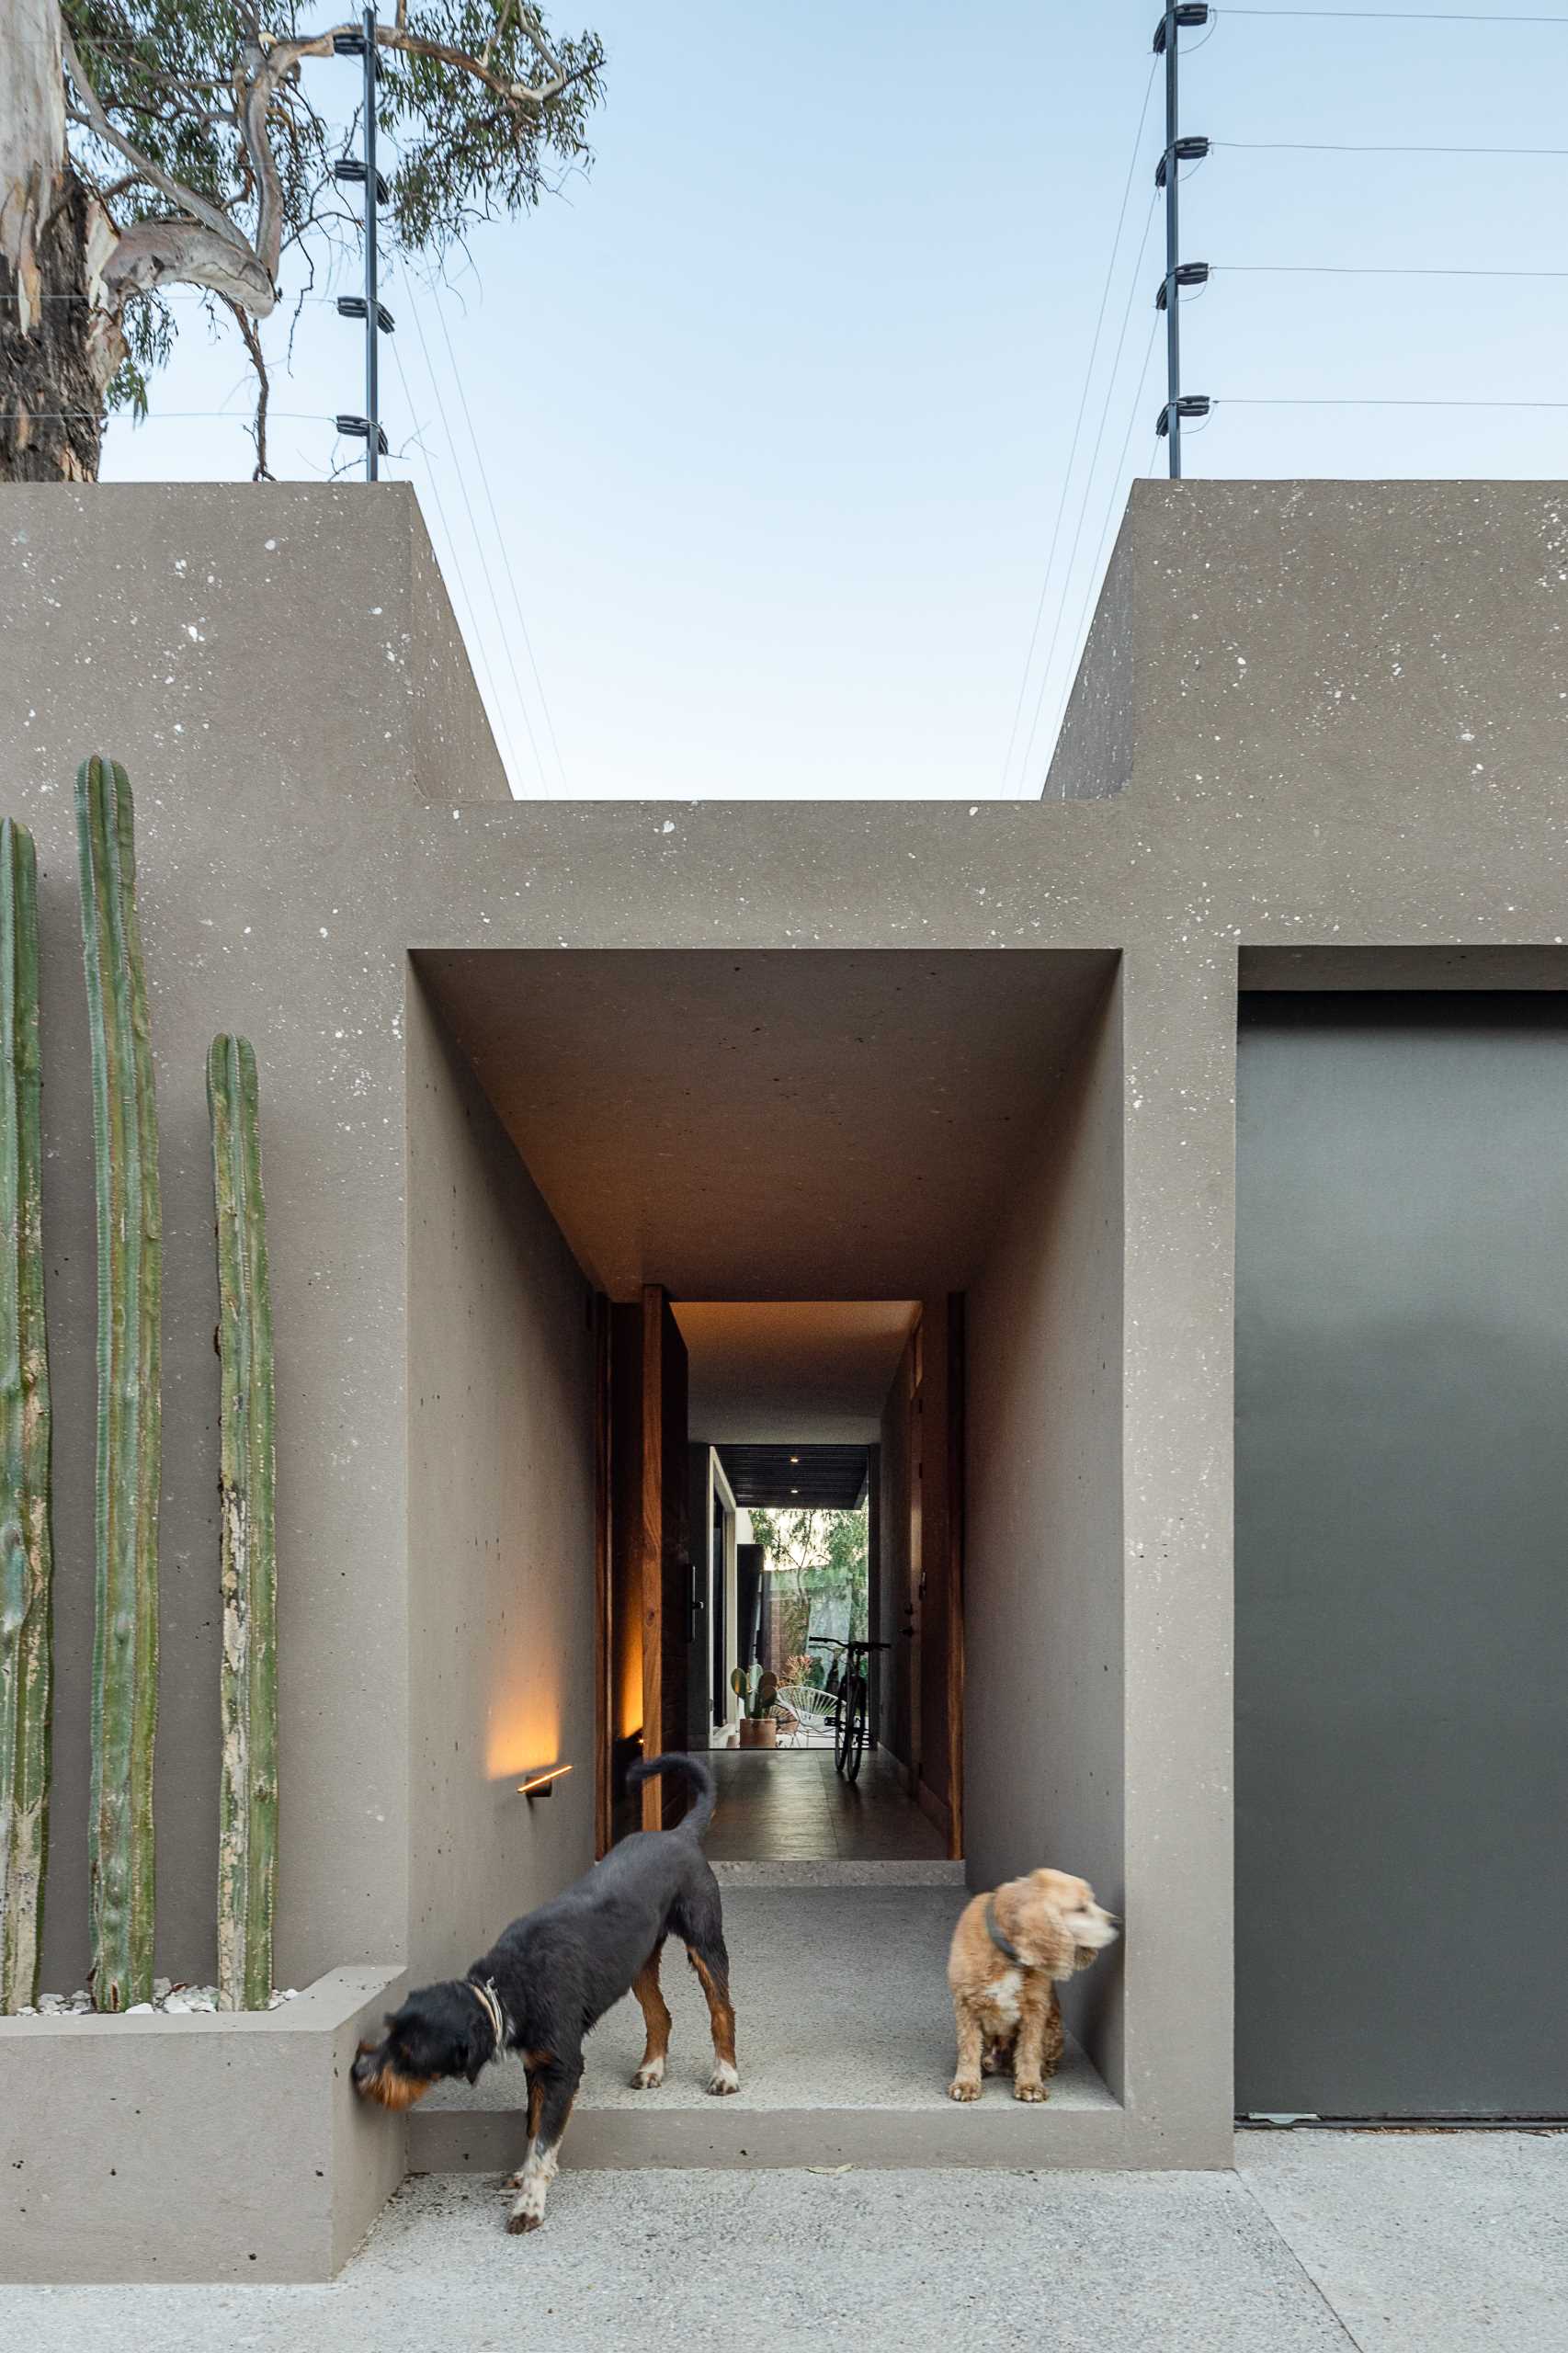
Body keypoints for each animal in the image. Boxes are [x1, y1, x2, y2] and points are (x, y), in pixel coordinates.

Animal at [350, 1759, 730, 2230]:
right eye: (389, 2033)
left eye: (410, 2054)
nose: (358, 2072)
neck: (506, 1987)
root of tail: (678, 1834)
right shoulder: (536, 2064)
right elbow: (531, 2127)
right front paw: (521, 2173)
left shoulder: (563, 2068)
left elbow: (546, 2141)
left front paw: (529, 2202)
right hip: (638, 1962)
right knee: (660, 2013)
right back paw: (652, 2068)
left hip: (705, 1939)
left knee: (722, 2010)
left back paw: (726, 2074)